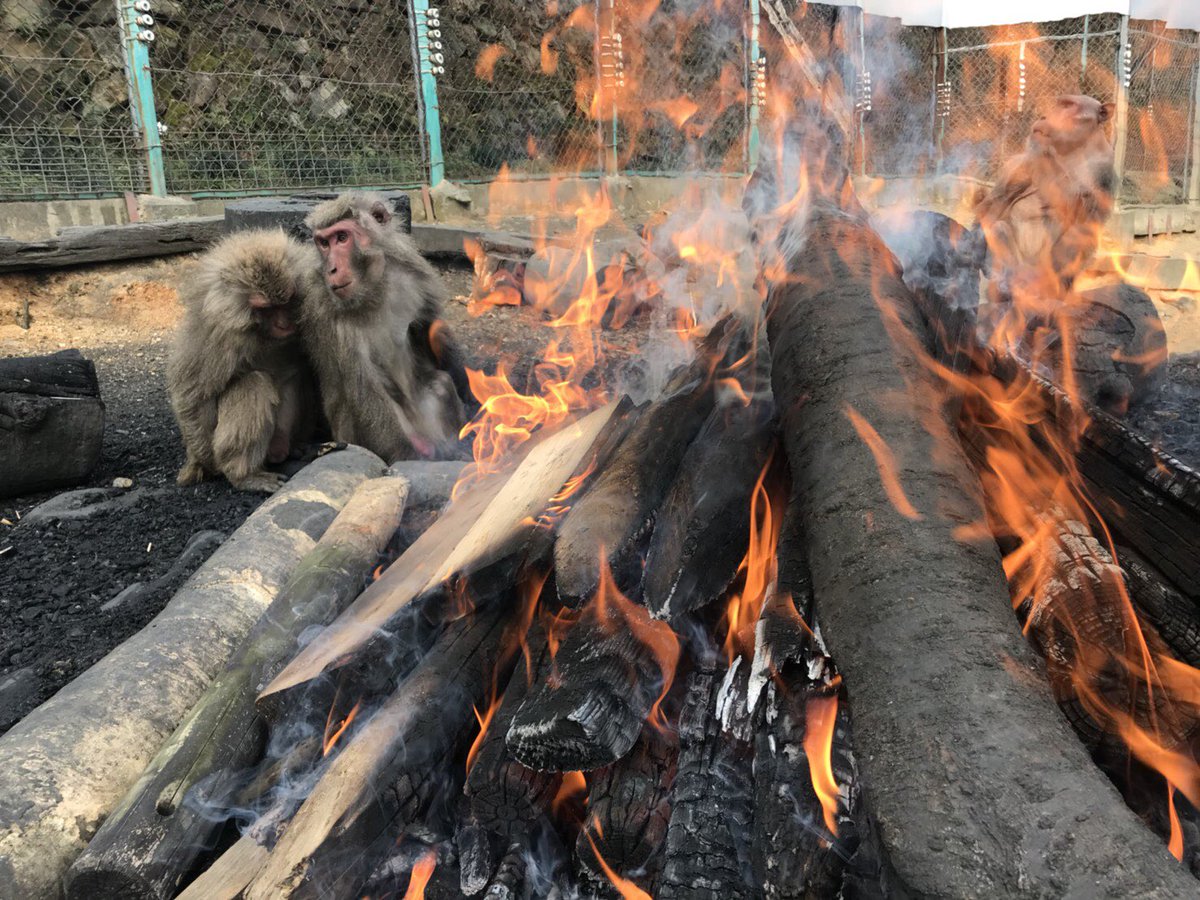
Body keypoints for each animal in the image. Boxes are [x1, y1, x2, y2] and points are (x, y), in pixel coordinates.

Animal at [166, 226, 324, 494]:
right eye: (266, 308)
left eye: (286, 302)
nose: (284, 324)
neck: (260, 332)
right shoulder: (219, 331)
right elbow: (193, 394)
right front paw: (205, 463)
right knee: (254, 384)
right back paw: (242, 474)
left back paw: (296, 448)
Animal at [302, 192, 465, 465]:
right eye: (324, 243)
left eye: (342, 238)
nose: (331, 269)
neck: (374, 288)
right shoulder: (326, 310)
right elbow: (363, 384)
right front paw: (407, 456)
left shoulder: (414, 272)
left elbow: (429, 327)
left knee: (440, 383)